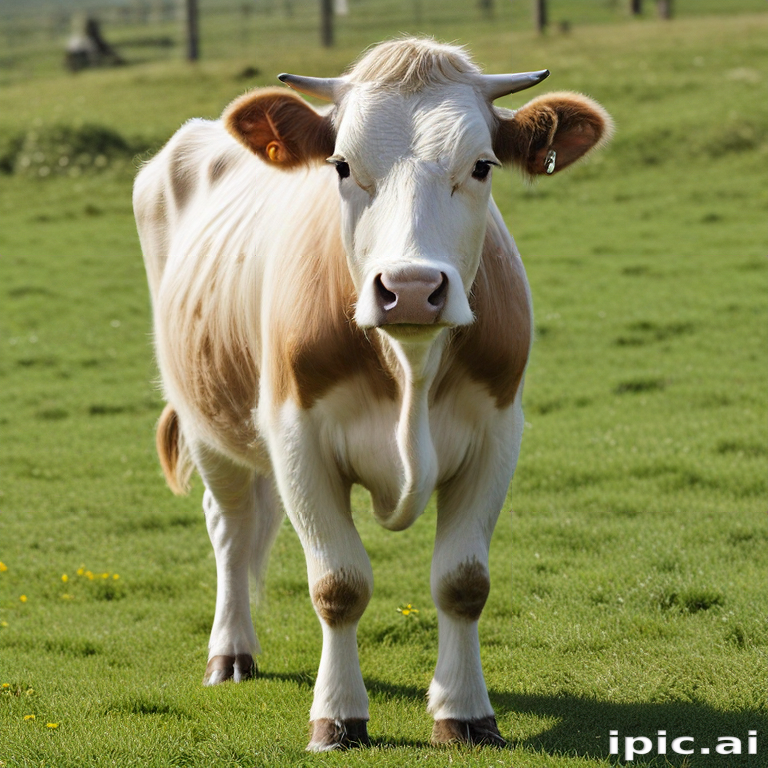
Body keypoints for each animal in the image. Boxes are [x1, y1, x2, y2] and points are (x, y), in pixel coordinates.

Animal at [133, 37, 612, 751]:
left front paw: (466, 713)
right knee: (231, 531)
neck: (409, 367)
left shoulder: (498, 433)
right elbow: (339, 584)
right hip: (205, 421)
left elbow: (463, 583)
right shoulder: (297, 437)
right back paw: (231, 653)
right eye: (341, 165)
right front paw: (337, 718)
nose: (411, 288)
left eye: (482, 165)